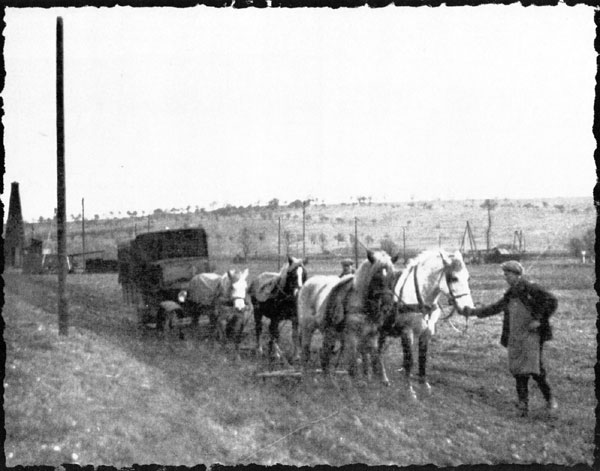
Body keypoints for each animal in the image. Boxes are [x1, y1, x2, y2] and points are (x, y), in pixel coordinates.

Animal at [297, 249, 398, 381]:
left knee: (324, 353)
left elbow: (376, 360)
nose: (386, 306)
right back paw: (305, 378)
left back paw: (328, 379)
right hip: (307, 328)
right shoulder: (351, 336)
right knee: (306, 352)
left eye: (393, 277)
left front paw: (381, 381)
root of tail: (307, 283)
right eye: (376, 276)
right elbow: (353, 365)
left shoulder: (372, 335)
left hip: (329, 332)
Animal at [376, 250, 474, 399]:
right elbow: (409, 360)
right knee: (378, 350)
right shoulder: (407, 332)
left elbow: (423, 357)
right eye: (454, 278)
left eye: (467, 278)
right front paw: (409, 390)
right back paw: (382, 377)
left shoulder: (427, 332)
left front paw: (424, 385)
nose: (468, 308)